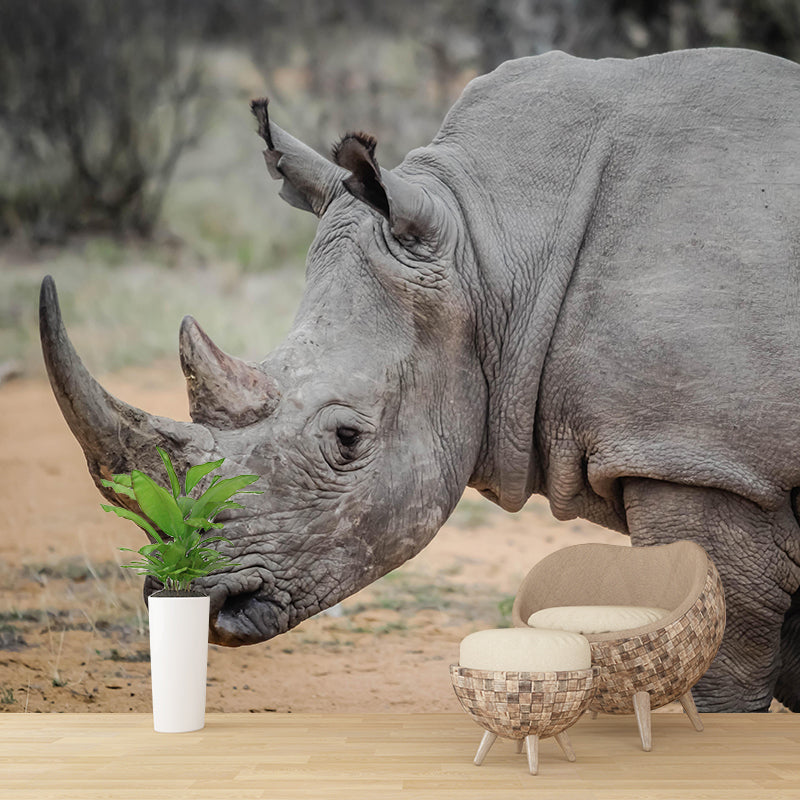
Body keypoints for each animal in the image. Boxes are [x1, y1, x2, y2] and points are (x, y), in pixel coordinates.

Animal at [40, 48, 800, 713]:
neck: (491, 245)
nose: (194, 600)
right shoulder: (714, 455)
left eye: (347, 438)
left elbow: (720, 661)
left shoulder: (704, 458)